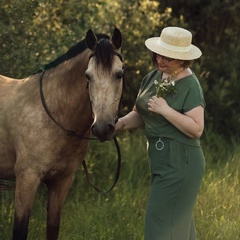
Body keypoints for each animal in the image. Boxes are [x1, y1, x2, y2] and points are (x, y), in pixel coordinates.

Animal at [0, 28, 124, 240]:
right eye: (88, 76)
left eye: (119, 74)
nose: (102, 128)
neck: (53, 113)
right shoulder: (27, 178)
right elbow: (20, 230)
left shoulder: (62, 181)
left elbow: (53, 228)